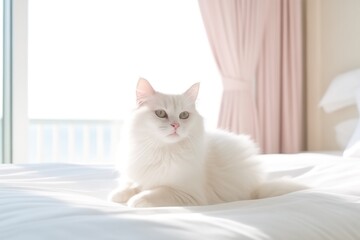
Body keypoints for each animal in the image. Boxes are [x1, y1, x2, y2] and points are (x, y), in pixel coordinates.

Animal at [109, 78, 306, 207]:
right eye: (161, 114)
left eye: (184, 115)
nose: (175, 125)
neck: (163, 151)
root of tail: (256, 187)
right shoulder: (137, 175)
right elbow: (130, 186)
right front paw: (117, 195)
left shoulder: (186, 194)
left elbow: (154, 192)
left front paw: (135, 201)